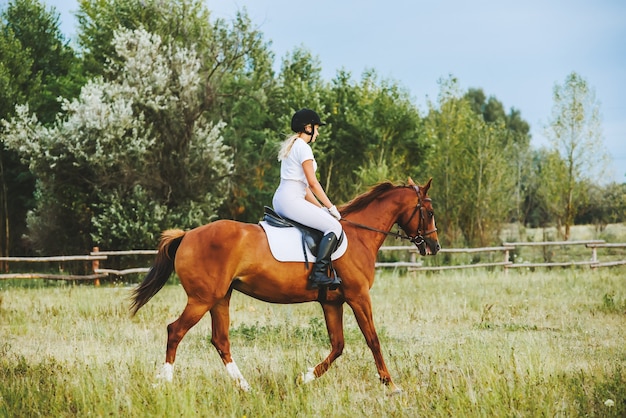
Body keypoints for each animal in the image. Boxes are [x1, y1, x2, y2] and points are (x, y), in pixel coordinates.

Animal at [129, 176, 436, 392]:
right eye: (430, 212)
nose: (434, 246)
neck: (358, 235)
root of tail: (187, 235)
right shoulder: (358, 297)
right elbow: (372, 339)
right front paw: (391, 385)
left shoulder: (332, 302)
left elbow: (338, 345)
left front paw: (304, 378)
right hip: (202, 299)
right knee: (175, 331)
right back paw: (164, 382)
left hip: (219, 298)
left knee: (220, 340)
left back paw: (245, 387)